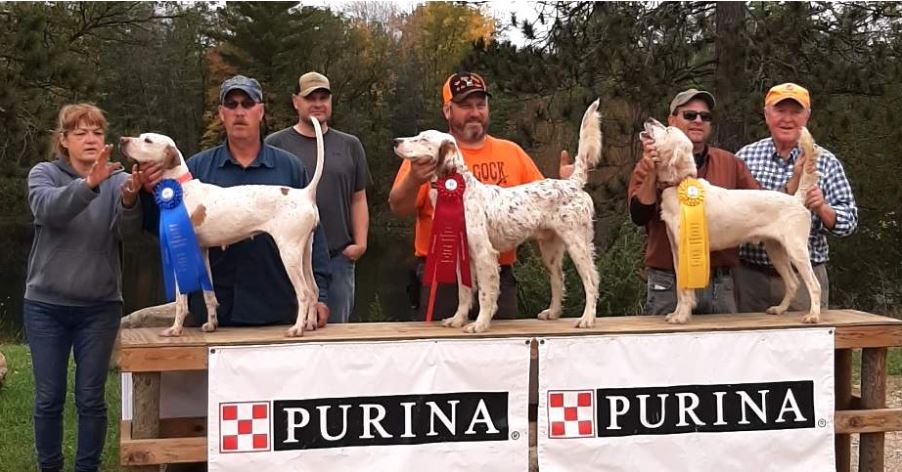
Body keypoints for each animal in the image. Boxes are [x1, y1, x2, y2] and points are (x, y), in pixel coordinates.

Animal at [119, 119, 324, 340]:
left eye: (147, 140)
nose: (122, 140)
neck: (181, 190)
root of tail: (305, 193)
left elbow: (181, 300)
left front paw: (175, 329)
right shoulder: (202, 252)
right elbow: (209, 294)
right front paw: (211, 324)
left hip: (289, 252)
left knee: (304, 293)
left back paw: (297, 328)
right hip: (304, 252)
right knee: (314, 289)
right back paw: (310, 324)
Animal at [398, 98, 604, 332]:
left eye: (423, 139)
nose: (396, 141)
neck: (461, 191)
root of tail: (573, 183)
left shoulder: (484, 254)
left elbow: (485, 294)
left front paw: (479, 324)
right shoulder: (463, 255)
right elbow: (464, 293)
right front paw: (458, 319)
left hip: (577, 243)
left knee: (591, 280)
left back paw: (587, 318)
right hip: (550, 250)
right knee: (558, 278)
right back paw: (552, 312)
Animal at [648, 118, 824, 324]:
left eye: (667, 130)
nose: (650, 120)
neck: (679, 185)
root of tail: (796, 199)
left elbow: (685, 290)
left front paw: (681, 317)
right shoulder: (676, 251)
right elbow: (680, 289)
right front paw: (677, 313)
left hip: (796, 249)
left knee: (814, 284)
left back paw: (813, 315)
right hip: (776, 250)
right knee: (793, 282)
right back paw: (779, 309)